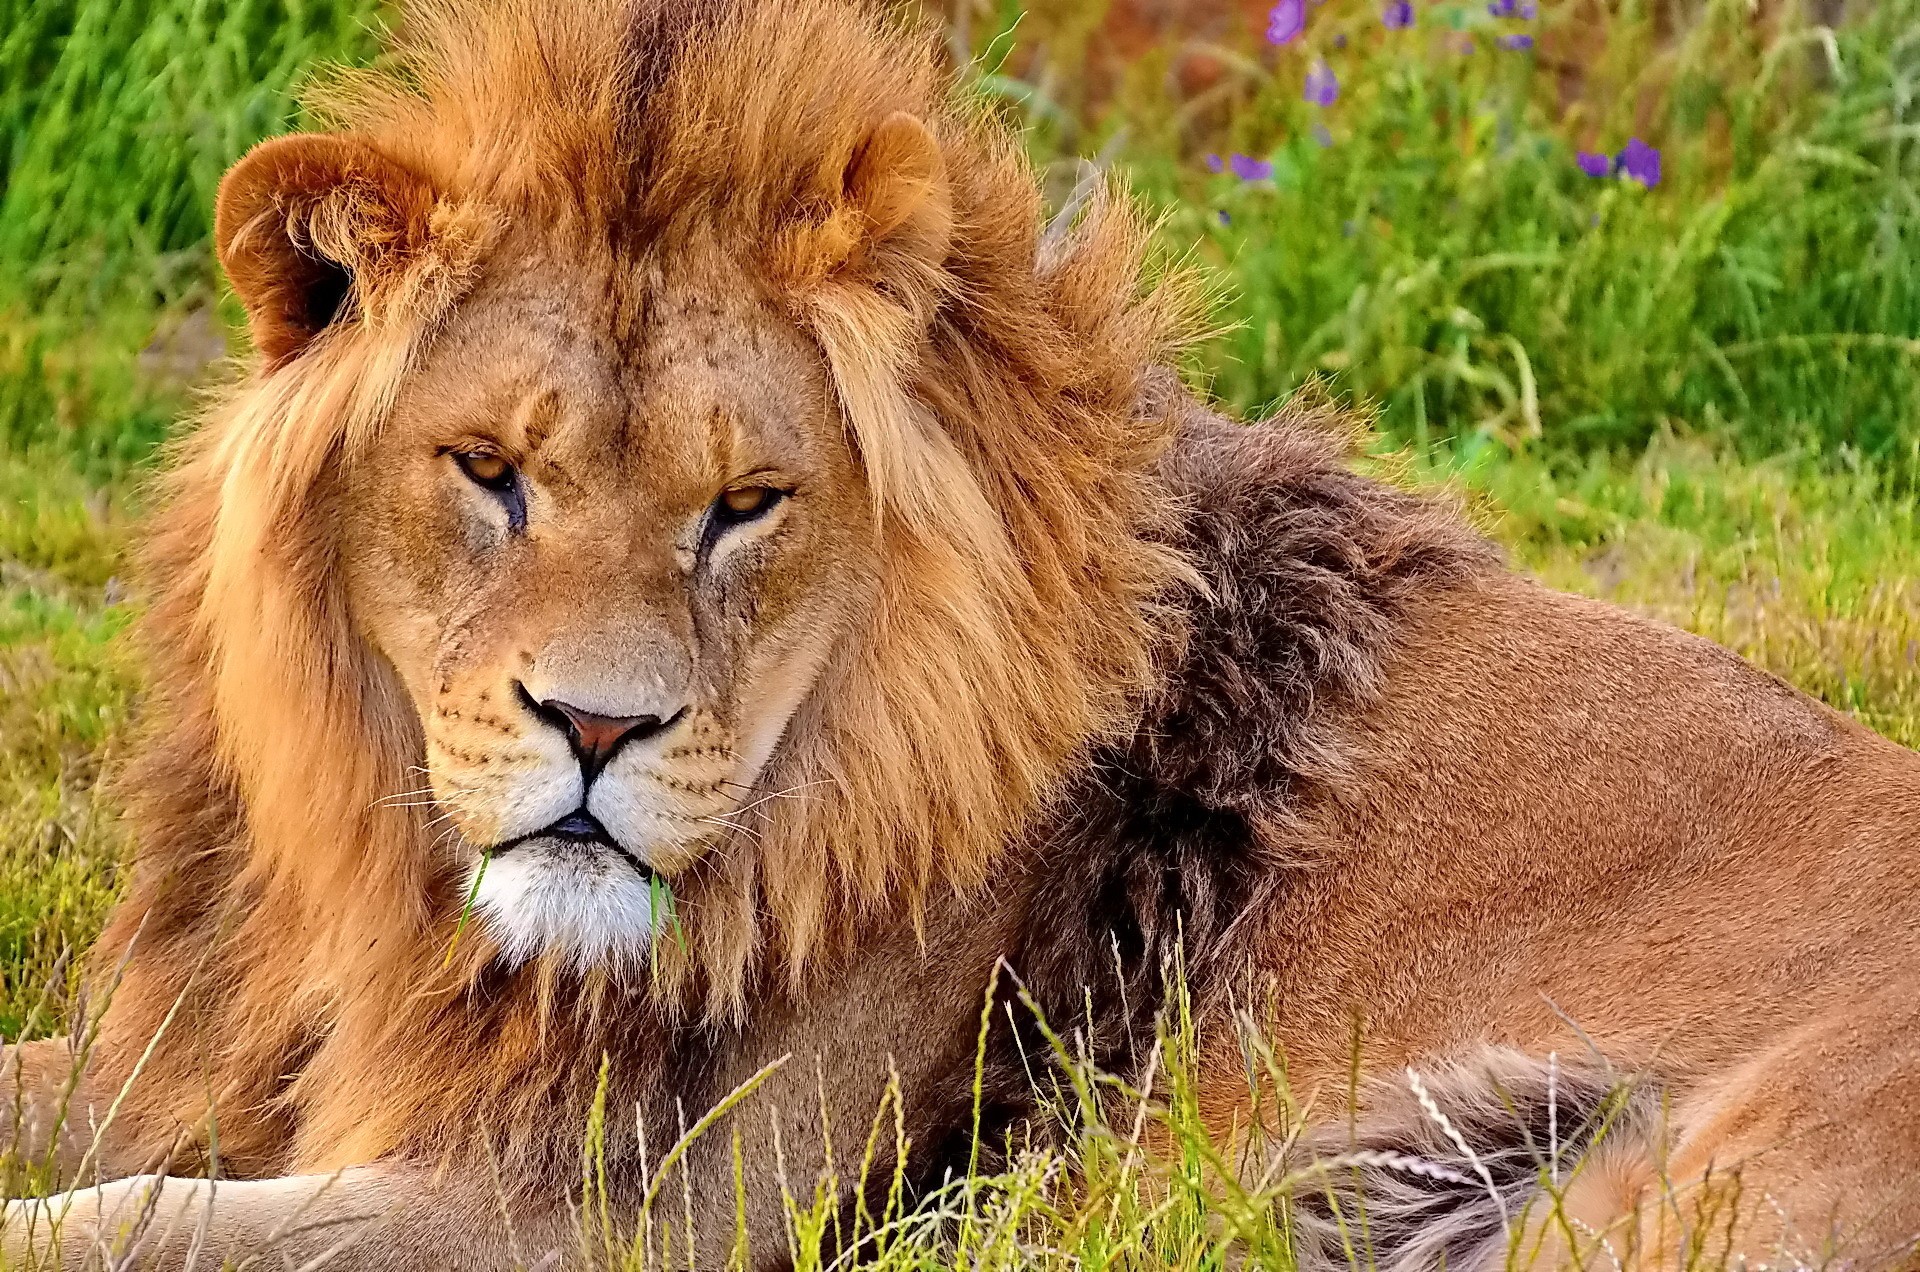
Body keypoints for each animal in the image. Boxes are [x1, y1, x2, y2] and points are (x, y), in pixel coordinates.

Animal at [4, 0, 1919, 1268]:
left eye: (746, 503)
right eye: (489, 472)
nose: (599, 733)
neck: (399, 892)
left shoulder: (615, 1212)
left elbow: (120, 1222)